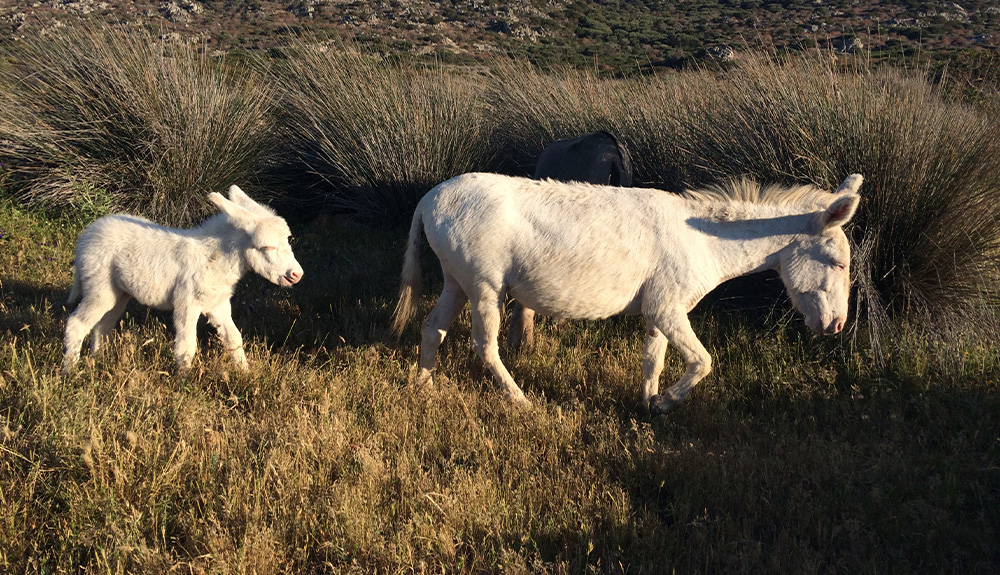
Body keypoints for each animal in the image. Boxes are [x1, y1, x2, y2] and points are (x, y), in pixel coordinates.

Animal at [61, 184, 302, 374]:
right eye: (268, 247)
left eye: (287, 241)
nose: (297, 275)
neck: (214, 257)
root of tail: (86, 236)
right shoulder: (187, 302)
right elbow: (187, 346)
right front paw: (184, 382)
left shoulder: (217, 305)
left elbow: (234, 339)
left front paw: (245, 373)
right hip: (100, 287)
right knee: (76, 324)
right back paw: (70, 372)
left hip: (119, 292)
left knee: (102, 326)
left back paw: (95, 362)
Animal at [390, 172, 860, 414]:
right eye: (838, 264)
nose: (836, 327)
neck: (703, 241)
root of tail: (430, 197)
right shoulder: (669, 308)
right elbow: (703, 361)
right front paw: (668, 402)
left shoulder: (659, 310)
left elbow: (654, 359)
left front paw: (649, 403)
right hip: (485, 285)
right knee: (485, 347)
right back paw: (521, 401)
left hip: (457, 281)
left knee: (432, 328)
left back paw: (423, 387)